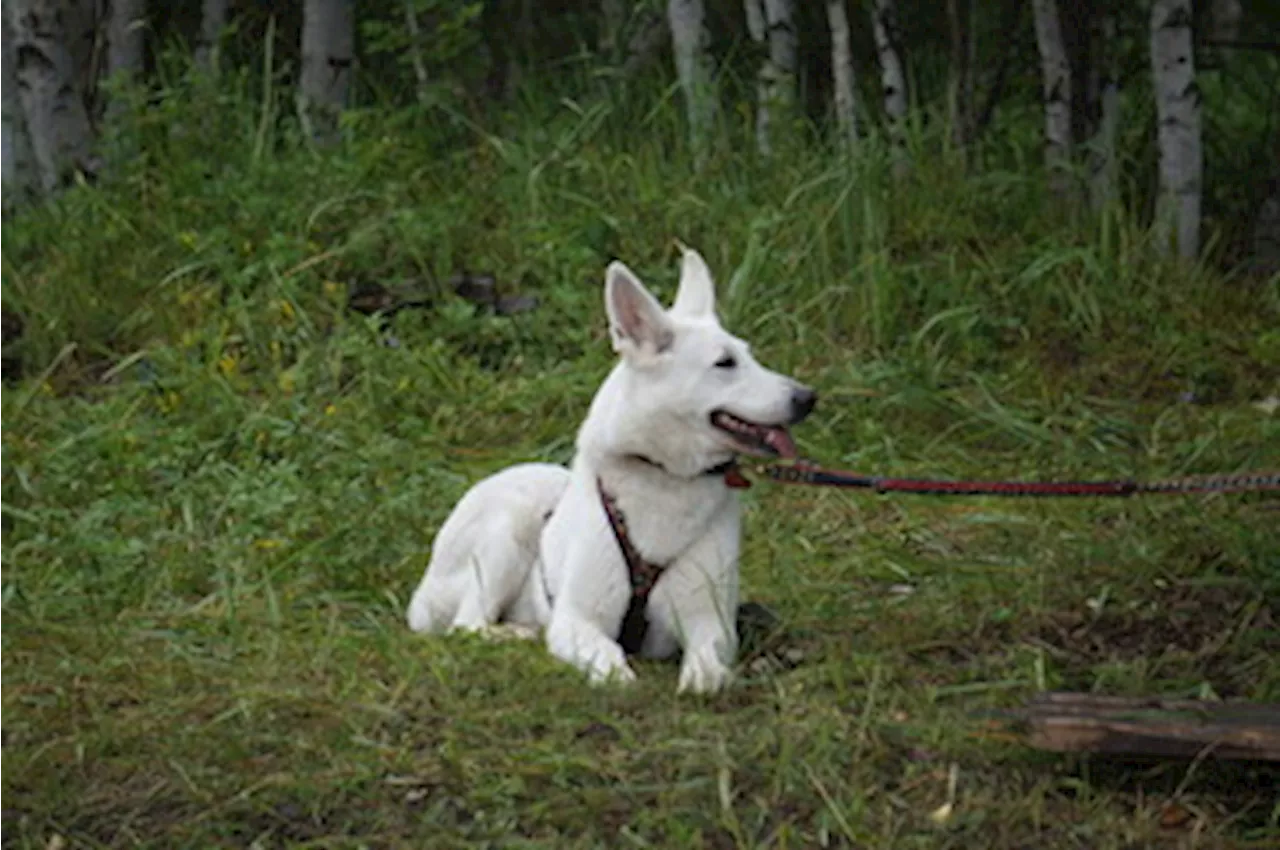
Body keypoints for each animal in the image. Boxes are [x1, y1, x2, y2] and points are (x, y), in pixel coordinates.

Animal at [404, 244, 814, 691]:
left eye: (749, 355)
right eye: (725, 363)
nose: (808, 397)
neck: (665, 477)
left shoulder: (711, 622)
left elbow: (707, 665)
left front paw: (704, 679)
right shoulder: (576, 621)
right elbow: (611, 661)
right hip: (506, 533)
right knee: (467, 624)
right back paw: (516, 632)